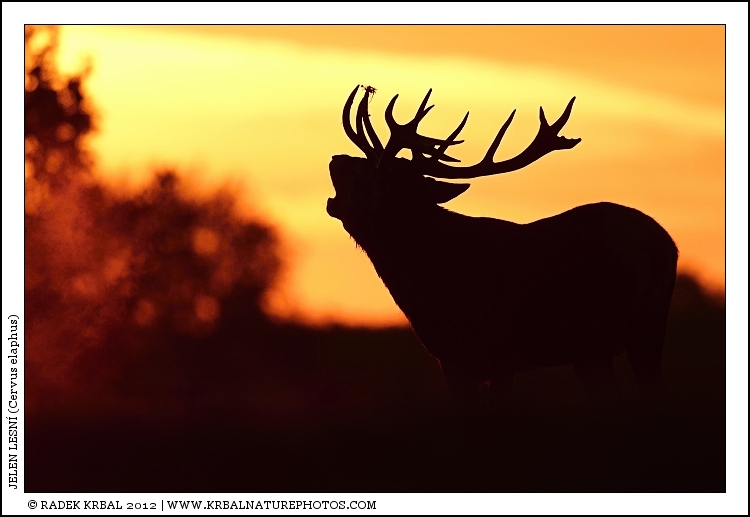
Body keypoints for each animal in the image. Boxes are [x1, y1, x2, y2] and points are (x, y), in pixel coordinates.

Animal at [326, 85, 678, 407]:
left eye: (364, 174)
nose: (335, 159)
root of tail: (660, 248)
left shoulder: (464, 354)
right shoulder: (502, 364)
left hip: (590, 338)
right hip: (646, 332)